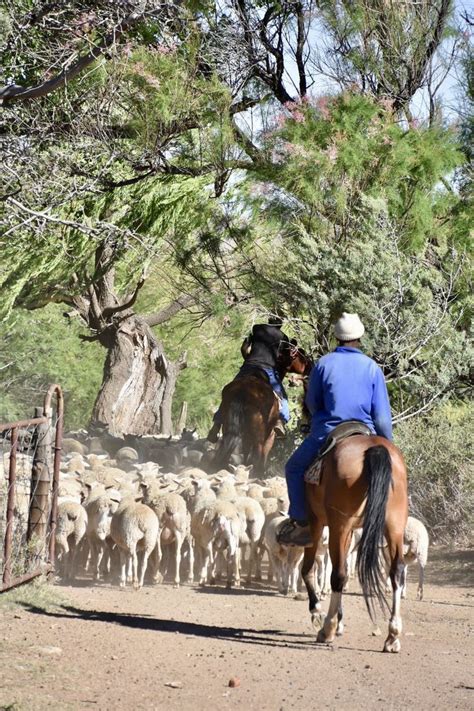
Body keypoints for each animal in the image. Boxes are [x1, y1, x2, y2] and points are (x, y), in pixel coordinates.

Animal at [210, 348, 312, 476]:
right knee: (257, 455)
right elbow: (263, 456)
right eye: (300, 354)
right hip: (259, 436)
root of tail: (242, 392)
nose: (310, 364)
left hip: (228, 429)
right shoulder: (270, 435)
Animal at [304, 440, 408, 656]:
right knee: (397, 570)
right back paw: (392, 636)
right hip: (394, 525)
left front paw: (317, 611)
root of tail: (374, 448)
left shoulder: (315, 521)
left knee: (338, 574)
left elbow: (308, 569)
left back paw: (327, 628)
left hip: (339, 524)